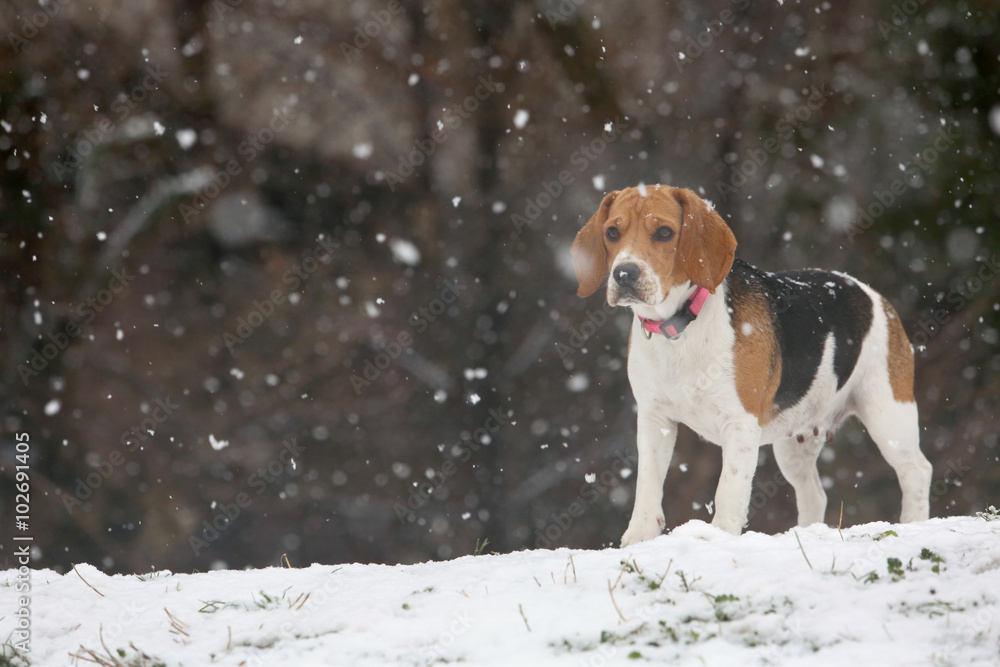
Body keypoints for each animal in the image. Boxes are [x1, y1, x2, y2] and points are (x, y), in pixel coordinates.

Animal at [576, 185, 932, 544]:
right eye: (612, 232)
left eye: (664, 233)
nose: (624, 274)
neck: (681, 325)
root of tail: (874, 295)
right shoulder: (655, 419)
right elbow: (647, 484)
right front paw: (638, 538)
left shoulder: (740, 424)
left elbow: (728, 489)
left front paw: (717, 537)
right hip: (795, 443)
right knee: (815, 494)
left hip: (888, 416)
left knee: (917, 471)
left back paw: (912, 524)